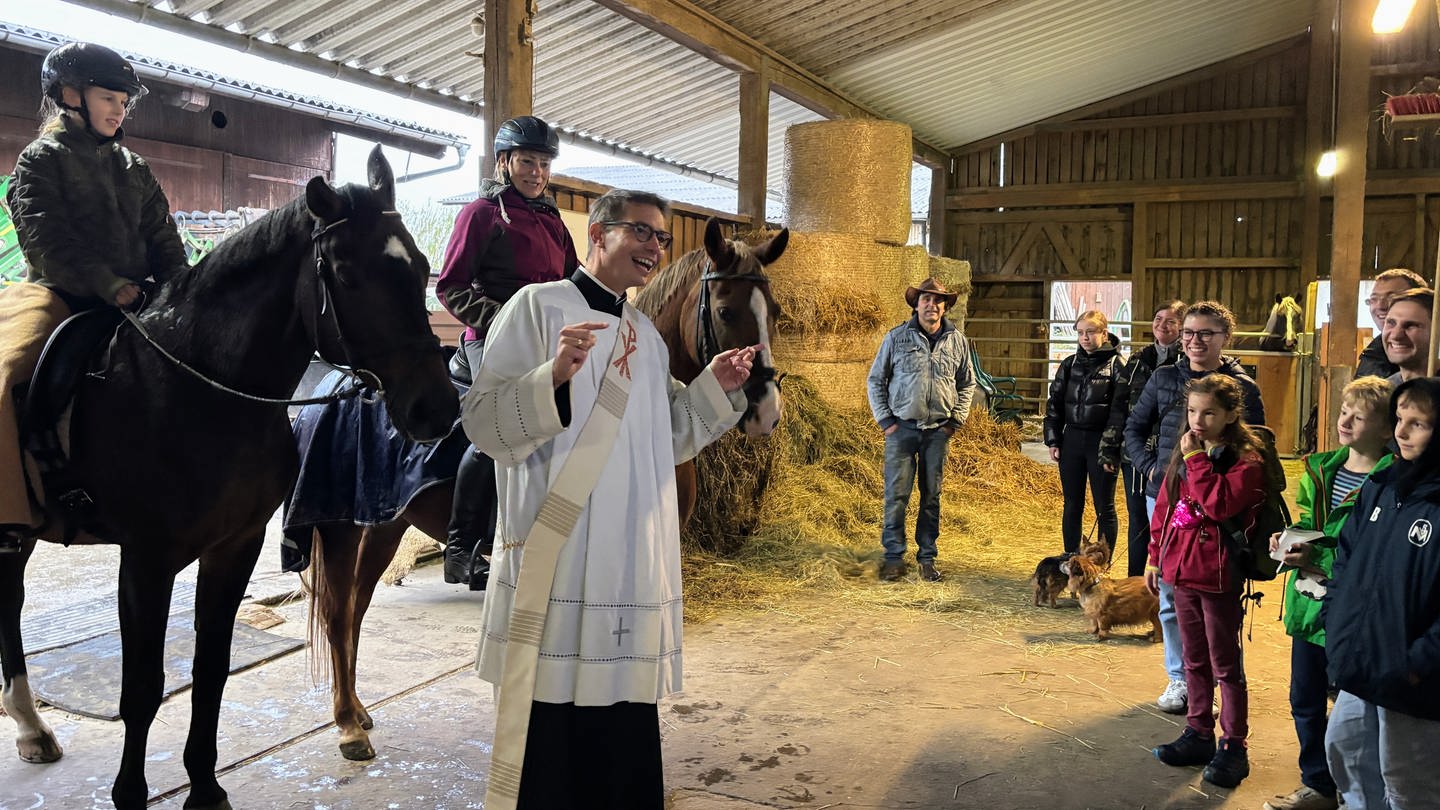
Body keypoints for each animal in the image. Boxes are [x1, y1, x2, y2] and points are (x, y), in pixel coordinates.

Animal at [0, 146, 455, 807]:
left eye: (420, 267)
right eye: (347, 275)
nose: (436, 409)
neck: (200, 390)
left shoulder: (233, 548)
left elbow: (211, 668)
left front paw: (206, 785)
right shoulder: (146, 561)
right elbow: (143, 685)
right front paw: (132, 792)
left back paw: (32, 729)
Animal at [295, 213, 789, 755]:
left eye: (775, 313)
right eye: (724, 310)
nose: (766, 412)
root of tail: (339, 386)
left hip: (385, 526)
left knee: (356, 609)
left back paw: (359, 713)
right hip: (340, 529)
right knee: (337, 613)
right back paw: (346, 723)